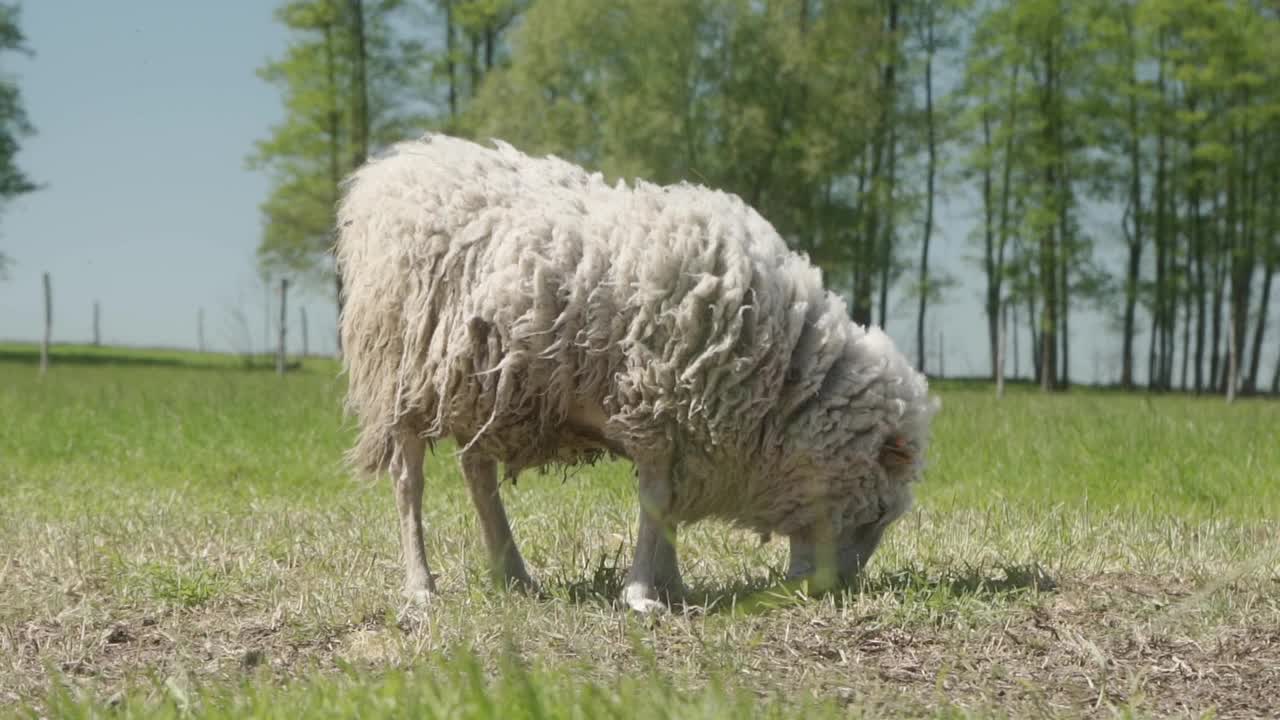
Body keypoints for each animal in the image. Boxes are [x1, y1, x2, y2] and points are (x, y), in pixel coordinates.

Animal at [335, 131, 936, 607]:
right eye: (873, 514)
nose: (833, 591)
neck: (780, 372)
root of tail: (391, 171)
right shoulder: (656, 406)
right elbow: (655, 502)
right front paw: (644, 595)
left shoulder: (681, 426)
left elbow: (663, 507)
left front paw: (671, 586)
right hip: (403, 377)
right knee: (409, 482)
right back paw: (421, 587)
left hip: (482, 384)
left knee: (477, 473)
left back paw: (515, 576)